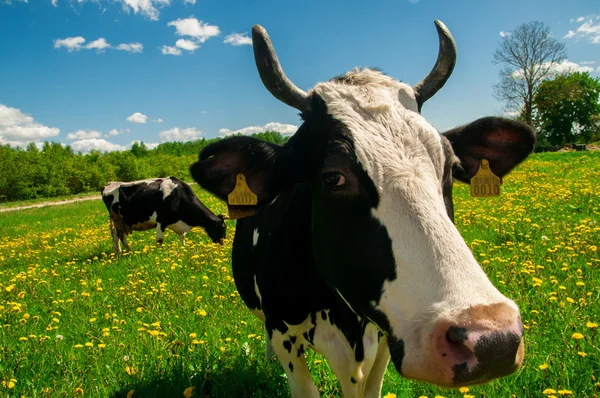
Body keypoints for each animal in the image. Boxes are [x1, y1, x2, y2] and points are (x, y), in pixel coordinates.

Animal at [190, 21, 532, 398]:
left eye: (450, 166)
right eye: (333, 177)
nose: (492, 338)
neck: (344, 319)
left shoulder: (384, 335)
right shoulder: (284, 333)